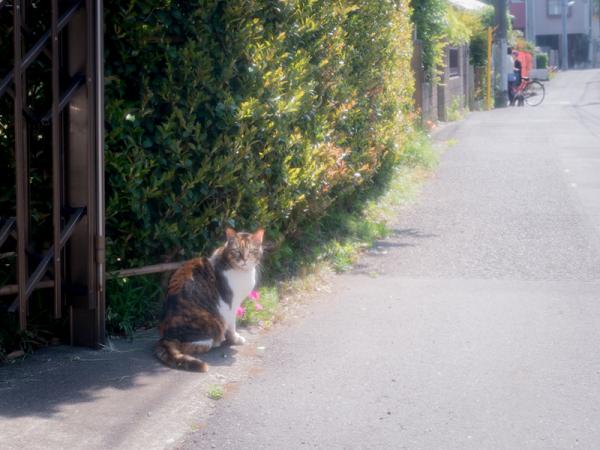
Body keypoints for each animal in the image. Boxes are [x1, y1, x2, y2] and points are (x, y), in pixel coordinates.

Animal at [156, 227, 264, 370]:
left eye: (251, 251)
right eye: (236, 251)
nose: (244, 259)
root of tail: (166, 337)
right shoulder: (230, 304)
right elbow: (232, 326)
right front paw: (235, 339)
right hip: (213, 322)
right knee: (190, 346)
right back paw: (214, 342)